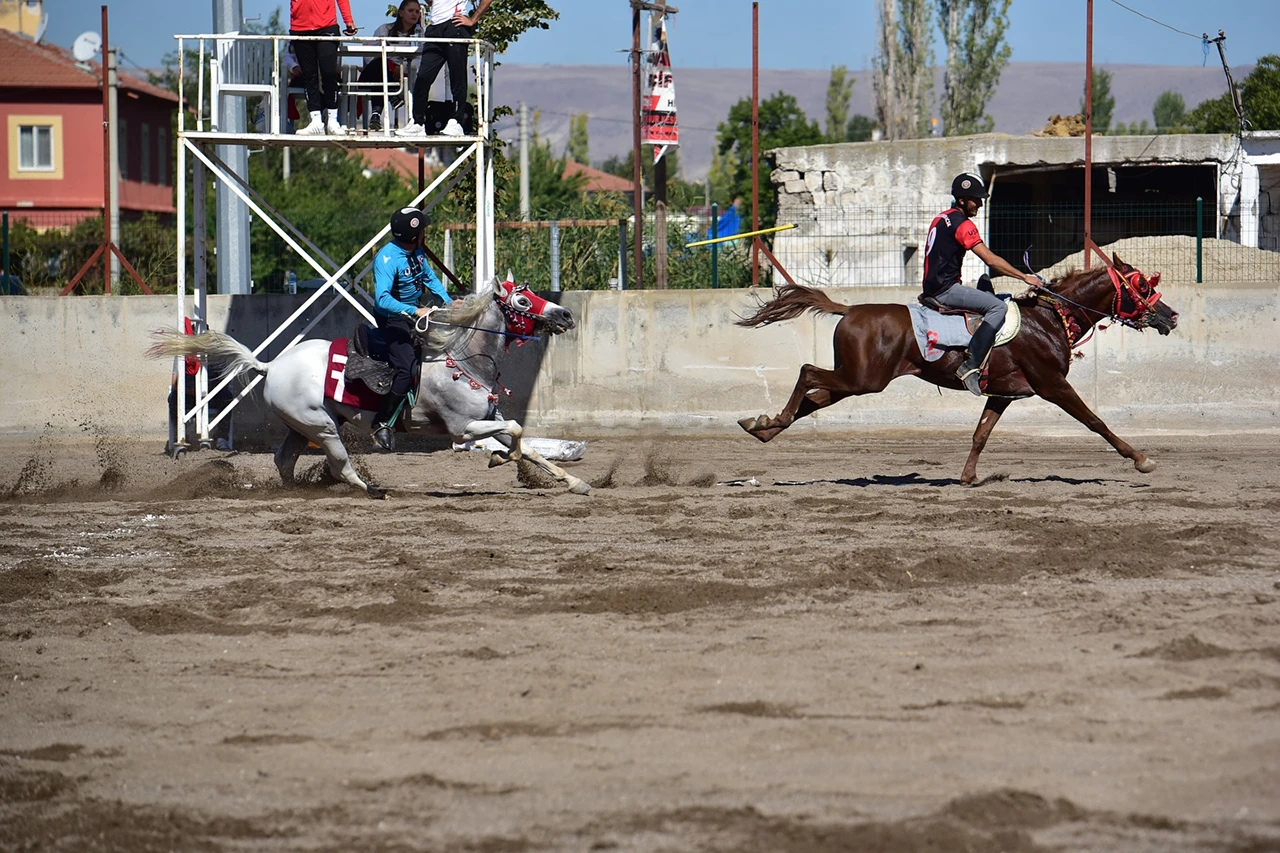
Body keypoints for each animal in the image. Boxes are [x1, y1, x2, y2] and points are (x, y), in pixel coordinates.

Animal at [151, 275, 588, 494]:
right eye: (522, 302)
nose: (565, 314)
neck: (463, 360)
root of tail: (270, 365)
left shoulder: (488, 420)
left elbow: (528, 445)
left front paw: (575, 482)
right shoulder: (463, 429)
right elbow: (516, 434)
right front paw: (500, 459)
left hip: (304, 426)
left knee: (284, 460)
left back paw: (296, 491)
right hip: (323, 427)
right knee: (340, 465)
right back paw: (370, 489)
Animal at [742, 252, 1177, 481]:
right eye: (1142, 286)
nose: (1171, 316)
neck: (1049, 318)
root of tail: (849, 309)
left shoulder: (1003, 394)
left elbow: (980, 434)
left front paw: (968, 477)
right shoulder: (1053, 385)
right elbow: (1095, 421)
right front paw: (1140, 458)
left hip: (855, 379)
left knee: (814, 397)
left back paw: (764, 426)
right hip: (863, 378)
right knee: (806, 372)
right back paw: (769, 420)